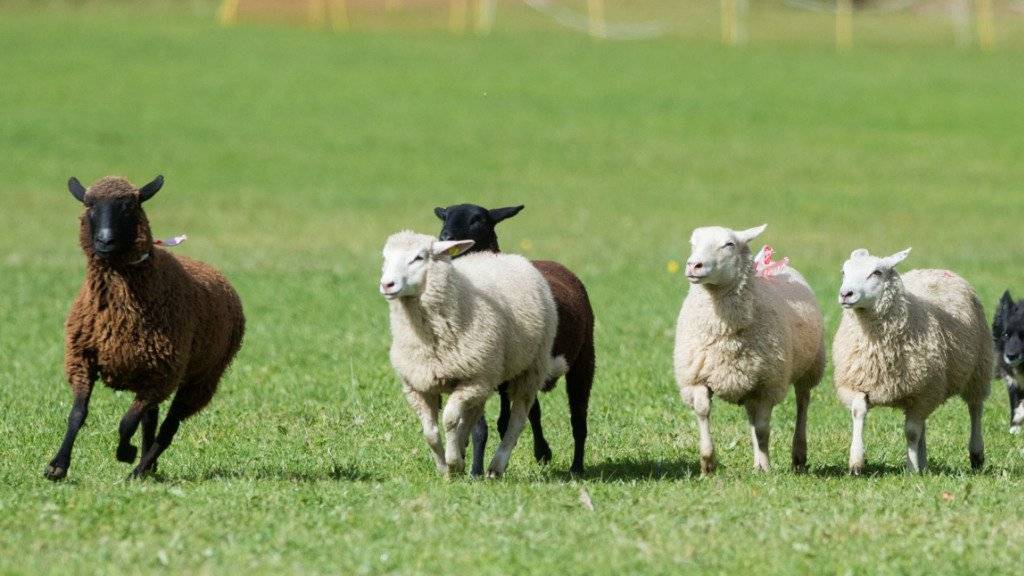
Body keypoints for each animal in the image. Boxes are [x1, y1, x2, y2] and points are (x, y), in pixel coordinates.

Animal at [44, 176, 245, 479]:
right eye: (89, 205)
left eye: (129, 206)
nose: (104, 240)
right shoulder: (82, 359)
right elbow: (77, 414)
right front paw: (57, 466)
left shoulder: (161, 376)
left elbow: (126, 423)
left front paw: (125, 453)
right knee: (151, 419)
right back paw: (147, 467)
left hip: (201, 378)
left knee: (168, 427)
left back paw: (140, 469)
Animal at [380, 228, 565, 475]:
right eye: (385, 258)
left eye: (419, 258)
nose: (387, 285)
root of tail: (506, 257)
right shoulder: (418, 386)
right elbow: (430, 433)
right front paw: (444, 468)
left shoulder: (474, 380)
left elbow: (449, 419)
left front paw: (453, 462)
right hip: (485, 378)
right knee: (472, 415)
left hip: (528, 369)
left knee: (516, 420)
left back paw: (496, 465)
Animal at [434, 203, 598, 473]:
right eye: (445, 217)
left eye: (478, 219)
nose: (445, 238)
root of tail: (555, 264)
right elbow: (483, 426)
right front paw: (473, 466)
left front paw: (477, 471)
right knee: (531, 412)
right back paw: (542, 452)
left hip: (584, 358)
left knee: (578, 417)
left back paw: (576, 467)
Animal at [675, 223, 827, 471]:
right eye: (693, 243)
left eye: (729, 244)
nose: (693, 265)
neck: (725, 332)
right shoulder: (696, 377)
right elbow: (703, 411)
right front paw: (708, 462)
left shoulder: (768, 384)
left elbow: (763, 429)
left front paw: (765, 467)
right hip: (748, 379)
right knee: (752, 416)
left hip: (810, 367)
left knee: (802, 404)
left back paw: (798, 455)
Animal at [831, 247, 991, 471]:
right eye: (844, 272)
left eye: (877, 272)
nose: (846, 294)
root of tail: (935, 269)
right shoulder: (855, 382)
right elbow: (858, 412)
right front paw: (856, 462)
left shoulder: (923, 391)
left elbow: (911, 432)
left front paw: (911, 468)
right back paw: (924, 462)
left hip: (979, 369)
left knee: (975, 408)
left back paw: (976, 455)